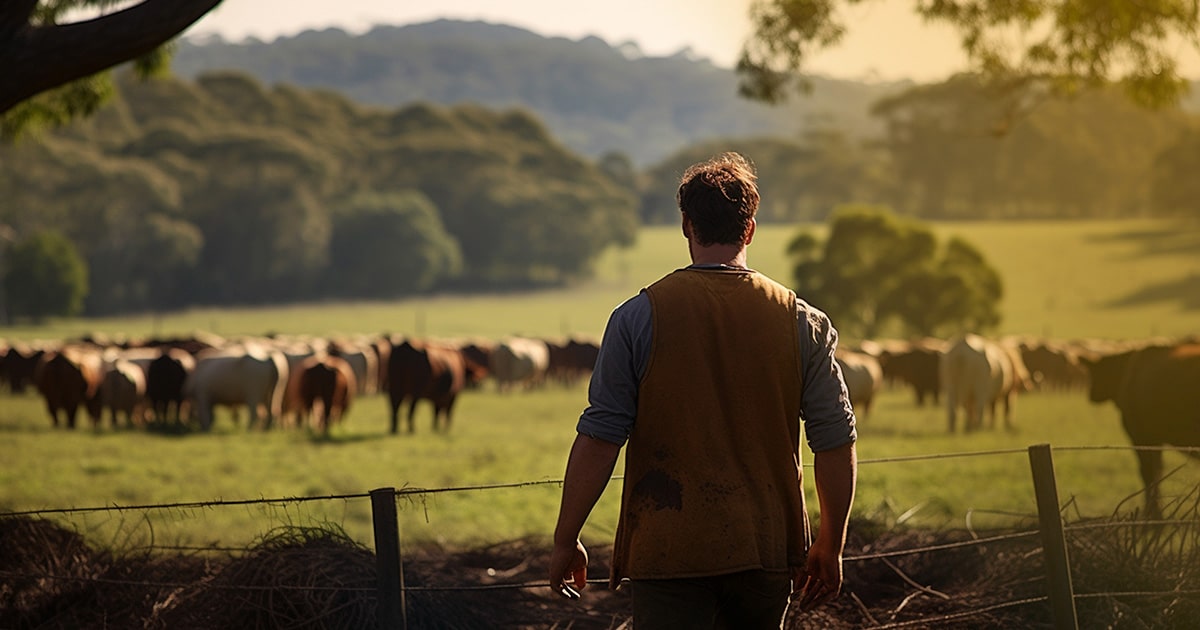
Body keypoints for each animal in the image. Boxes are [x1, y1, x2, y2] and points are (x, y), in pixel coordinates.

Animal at [1080, 340, 1200, 518]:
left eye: (1095, 372)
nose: (1091, 395)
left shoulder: (1139, 435)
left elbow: (1149, 472)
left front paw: (1152, 514)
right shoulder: (1154, 438)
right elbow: (1157, 471)